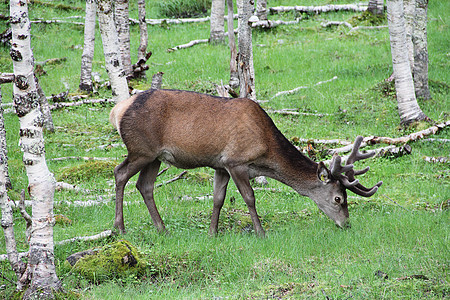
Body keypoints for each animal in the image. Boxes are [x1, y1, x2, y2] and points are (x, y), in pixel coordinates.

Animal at [110, 89, 382, 237]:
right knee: (119, 173)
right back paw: (120, 228)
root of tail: (117, 110)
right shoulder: (236, 161)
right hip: (141, 149)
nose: (346, 224)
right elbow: (250, 198)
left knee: (144, 185)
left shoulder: (220, 166)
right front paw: (261, 232)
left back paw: (162, 229)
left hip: (155, 156)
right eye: (338, 198)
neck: (265, 153)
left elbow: (218, 199)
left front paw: (212, 233)